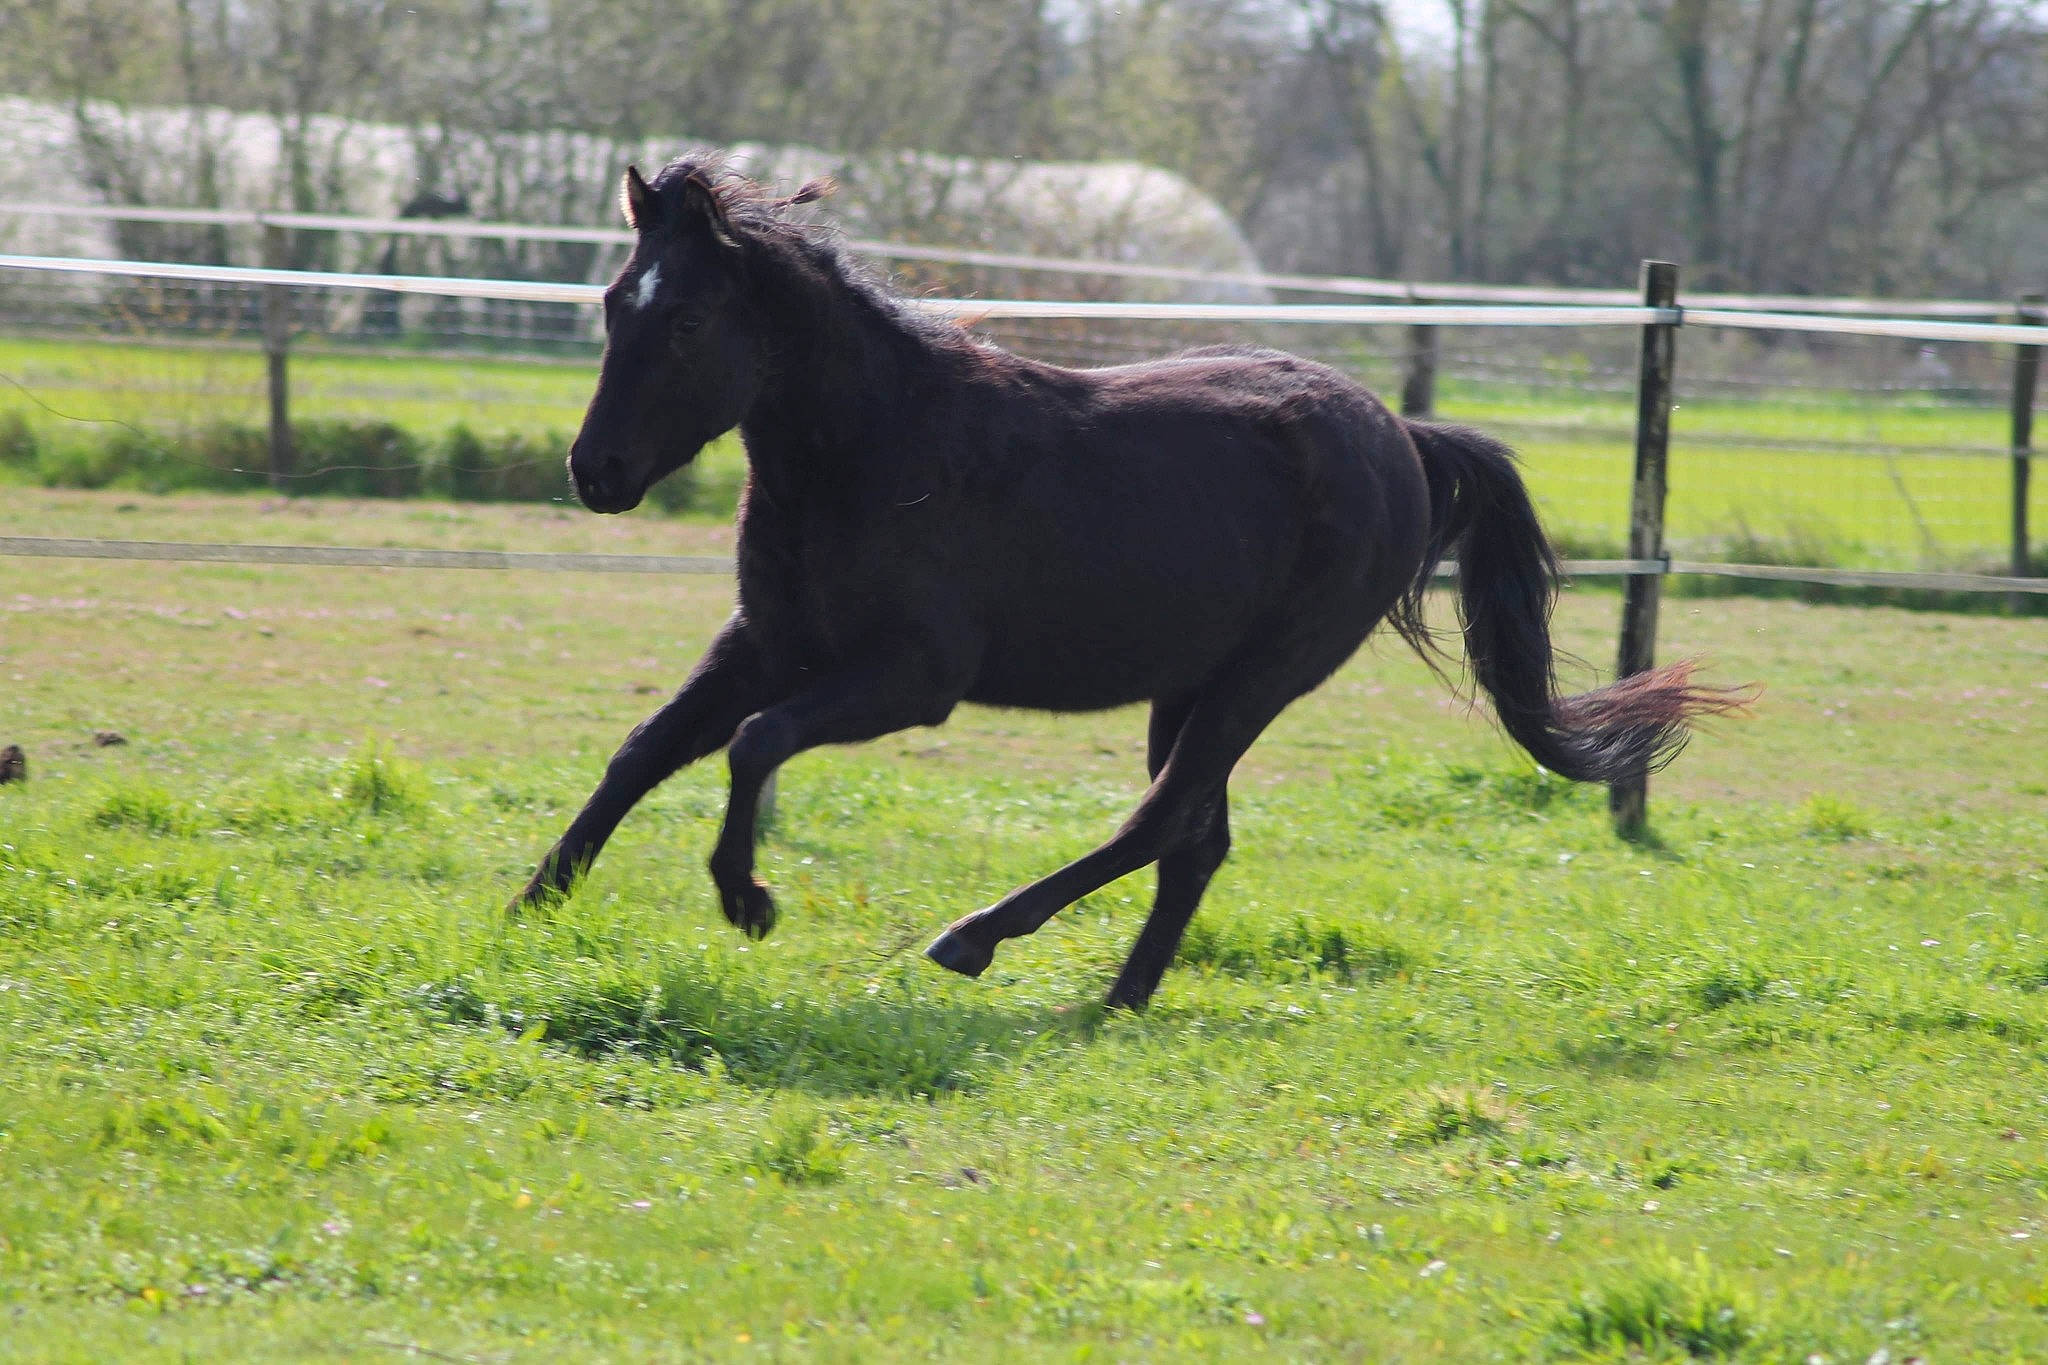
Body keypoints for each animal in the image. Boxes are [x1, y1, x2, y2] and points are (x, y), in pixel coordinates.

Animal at [511, 155, 1744, 1009]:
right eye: (614, 301)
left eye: (683, 319)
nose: (594, 471)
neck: (880, 448)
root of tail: (1403, 436)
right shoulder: (768, 638)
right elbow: (648, 748)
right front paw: (534, 901)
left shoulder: (910, 676)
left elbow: (752, 741)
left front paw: (746, 899)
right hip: (1188, 684)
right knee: (1196, 838)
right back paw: (1117, 997)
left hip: (1262, 677)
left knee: (1160, 821)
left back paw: (976, 940)